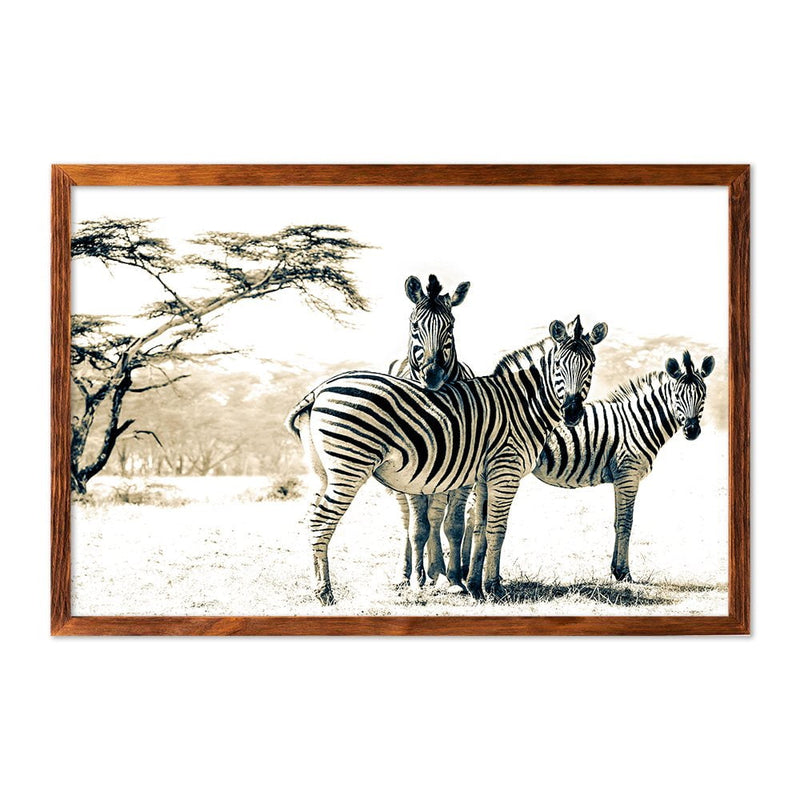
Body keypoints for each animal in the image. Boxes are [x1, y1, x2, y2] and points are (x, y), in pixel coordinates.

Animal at [285, 315, 608, 605]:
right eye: (559, 366)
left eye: (591, 366)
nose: (572, 413)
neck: (523, 404)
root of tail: (320, 388)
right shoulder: (506, 470)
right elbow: (498, 529)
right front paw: (494, 589)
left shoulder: (484, 475)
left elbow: (480, 529)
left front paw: (475, 586)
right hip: (349, 467)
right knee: (322, 521)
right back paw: (325, 593)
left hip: (324, 472)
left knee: (311, 518)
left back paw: (316, 587)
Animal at [387, 274, 474, 590]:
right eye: (415, 326)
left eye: (450, 327)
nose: (432, 375)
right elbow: (418, 526)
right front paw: (417, 577)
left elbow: (452, 525)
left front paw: (453, 579)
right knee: (408, 520)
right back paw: (406, 574)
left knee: (436, 516)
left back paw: (439, 571)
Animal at [465, 349, 715, 586]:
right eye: (678, 396)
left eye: (702, 395)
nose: (692, 431)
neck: (638, 423)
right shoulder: (628, 474)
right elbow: (626, 522)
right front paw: (624, 573)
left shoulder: (620, 478)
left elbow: (616, 522)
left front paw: (615, 569)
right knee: (471, 516)